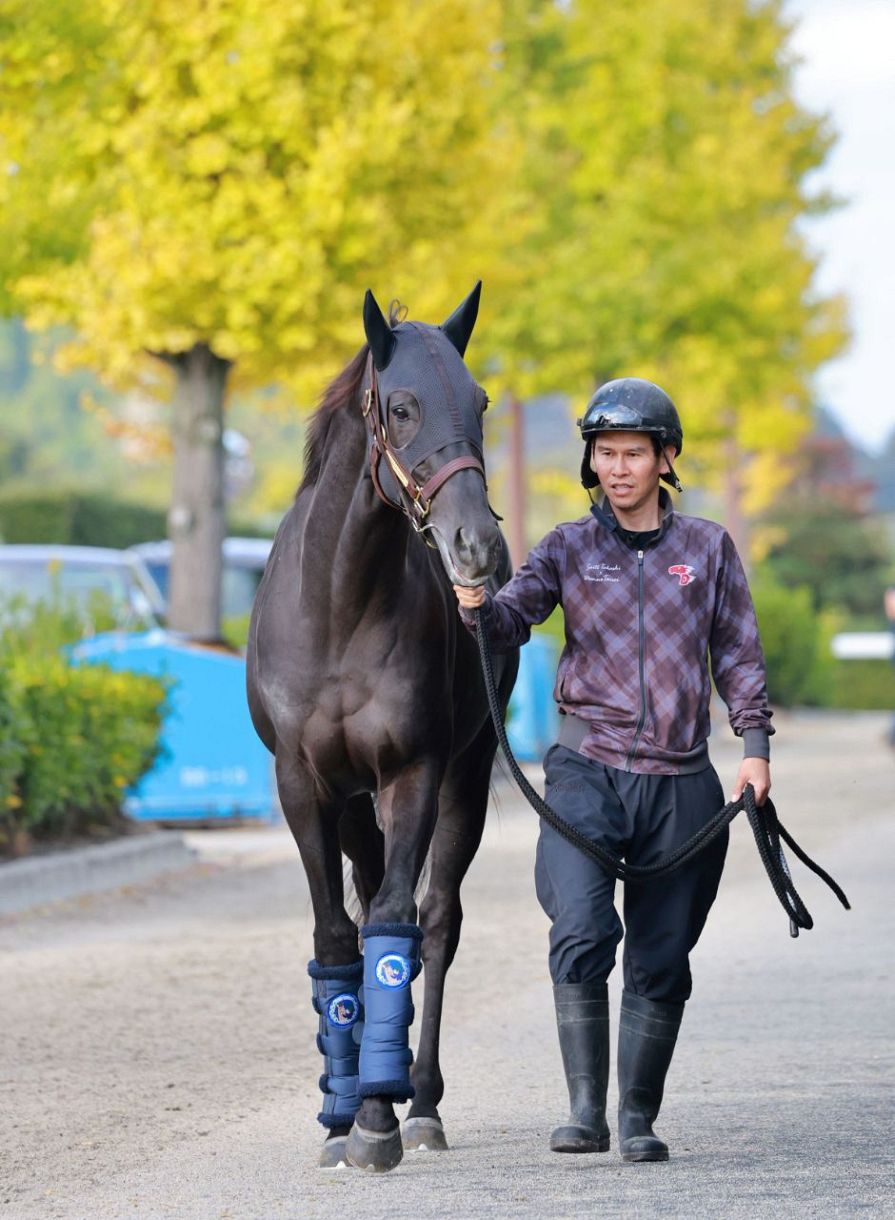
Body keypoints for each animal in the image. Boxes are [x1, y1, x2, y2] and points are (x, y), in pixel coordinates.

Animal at [246, 283, 518, 1172]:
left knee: (434, 924)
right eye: (401, 407)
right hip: (352, 804)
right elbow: (337, 938)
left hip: (464, 776)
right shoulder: (304, 786)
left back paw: (419, 1101)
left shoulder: (414, 772)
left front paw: (376, 1116)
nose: (477, 546)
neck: (338, 607)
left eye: (480, 401)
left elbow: (398, 925)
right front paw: (341, 1113)